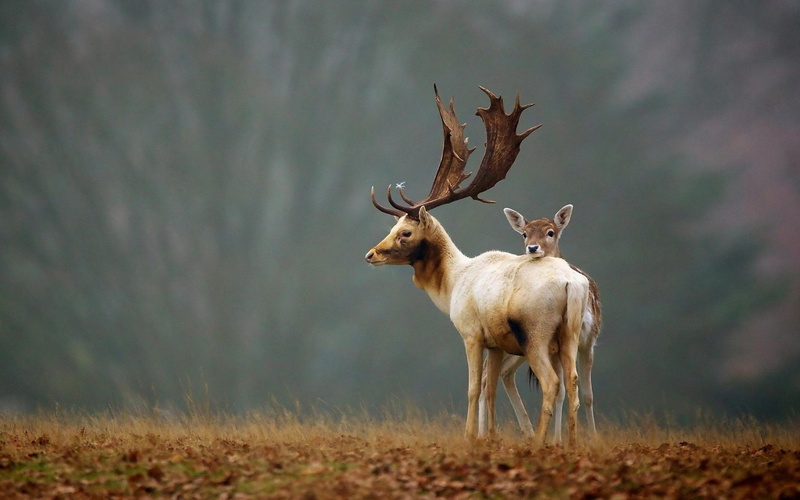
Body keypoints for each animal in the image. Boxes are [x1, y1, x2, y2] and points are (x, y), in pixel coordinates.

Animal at [478, 204, 602, 442]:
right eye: (524, 233)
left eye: (550, 232)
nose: (532, 248)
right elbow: (563, 391)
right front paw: (557, 440)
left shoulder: (589, 340)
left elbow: (588, 394)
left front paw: (591, 437)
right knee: (490, 376)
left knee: (500, 374)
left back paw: (522, 432)